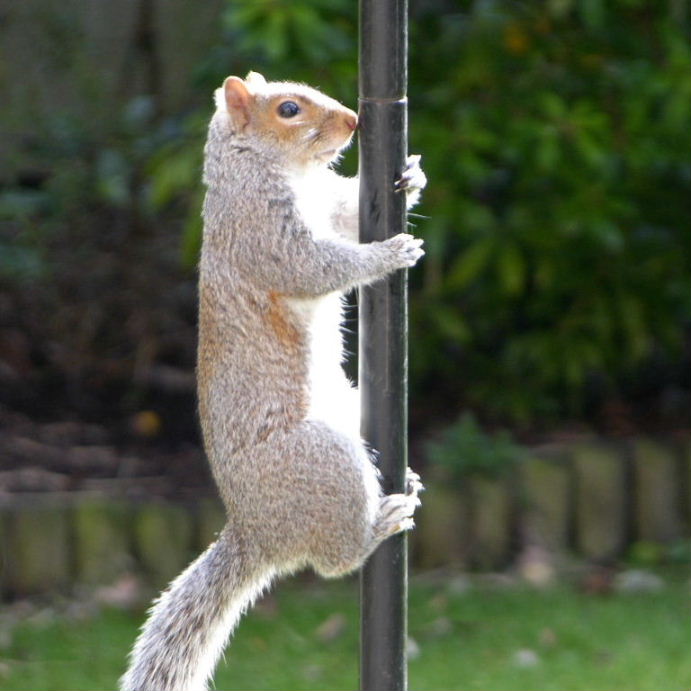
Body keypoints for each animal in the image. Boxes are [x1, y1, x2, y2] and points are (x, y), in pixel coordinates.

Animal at [120, 71, 427, 691]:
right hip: (322, 460)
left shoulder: (328, 209)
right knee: (335, 561)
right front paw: (388, 253)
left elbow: (349, 217)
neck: (274, 169)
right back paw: (378, 526)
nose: (354, 121)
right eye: (288, 109)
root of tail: (257, 531)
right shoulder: (262, 232)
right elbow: (314, 266)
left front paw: (410, 175)